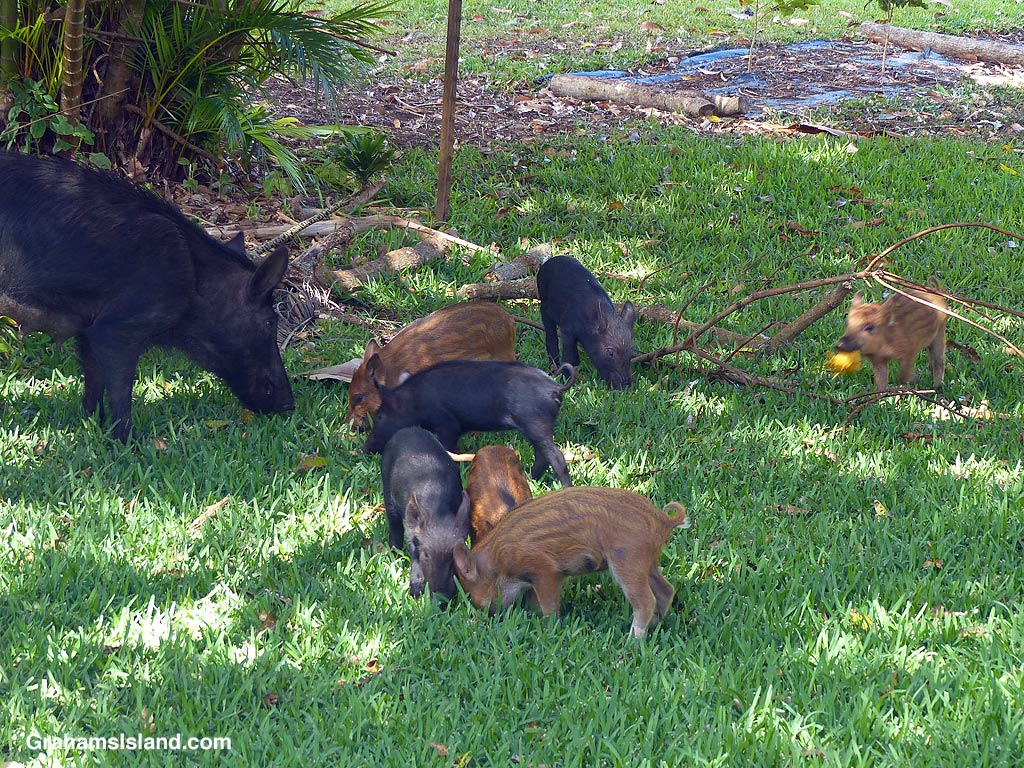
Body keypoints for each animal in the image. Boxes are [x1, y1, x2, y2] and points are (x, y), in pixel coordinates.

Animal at [0, 151, 294, 441]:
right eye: (270, 321)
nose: (289, 405)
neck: (194, 289)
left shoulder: (87, 328)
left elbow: (94, 385)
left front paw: (94, 426)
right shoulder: (116, 329)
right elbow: (120, 392)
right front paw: (129, 443)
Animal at [363, 360, 576, 488]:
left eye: (380, 416)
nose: (365, 448)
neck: (415, 401)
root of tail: (555, 387)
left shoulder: (447, 424)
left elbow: (448, 449)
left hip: (536, 424)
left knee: (556, 456)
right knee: (542, 455)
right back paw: (531, 480)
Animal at [380, 426, 470, 601]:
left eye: (452, 555)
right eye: (427, 554)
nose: (441, 598)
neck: (438, 512)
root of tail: (407, 429)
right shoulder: (411, 529)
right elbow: (412, 550)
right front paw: (415, 592)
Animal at [452, 487, 690, 638]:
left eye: (471, 593)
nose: (486, 616)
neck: (498, 562)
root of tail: (663, 520)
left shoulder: (544, 570)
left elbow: (549, 606)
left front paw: (548, 630)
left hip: (628, 561)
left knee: (646, 601)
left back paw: (631, 642)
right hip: (648, 563)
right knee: (666, 589)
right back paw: (656, 626)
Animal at [537, 255, 636, 389]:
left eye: (631, 352)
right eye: (610, 352)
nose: (625, 386)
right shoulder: (567, 329)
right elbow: (567, 354)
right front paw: (564, 379)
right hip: (544, 306)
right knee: (551, 336)